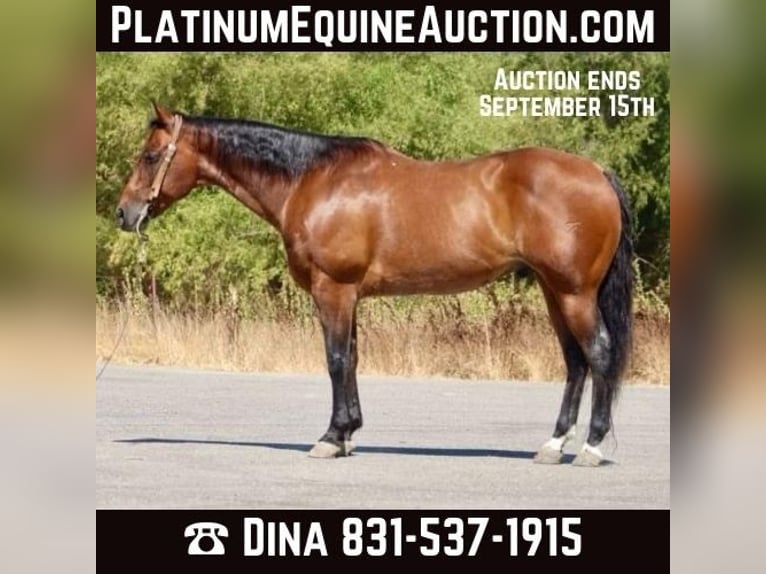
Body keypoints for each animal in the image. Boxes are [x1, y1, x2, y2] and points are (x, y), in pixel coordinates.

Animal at [115, 103, 633, 467]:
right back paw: (553, 444)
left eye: (151, 155)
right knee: (575, 363)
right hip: (554, 291)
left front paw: (331, 437)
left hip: (573, 293)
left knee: (600, 354)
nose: (125, 213)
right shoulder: (350, 296)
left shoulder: (333, 290)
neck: (311, 180)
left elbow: (336, 360)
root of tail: (597, 172)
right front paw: (348, 433)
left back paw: (590, 448)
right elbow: (353, 359)